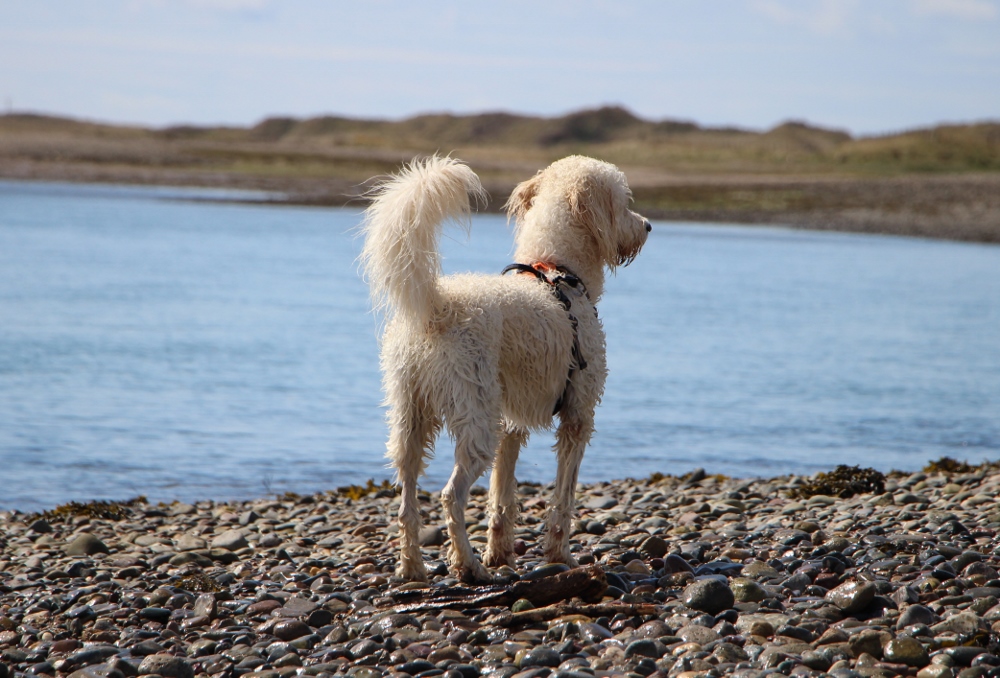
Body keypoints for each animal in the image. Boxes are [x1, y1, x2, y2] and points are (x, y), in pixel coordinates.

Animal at [364, 155, 652, 584]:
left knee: (406, 498)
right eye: (623, 201)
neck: (557, 270)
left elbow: (502, 496)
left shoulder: (511, 423)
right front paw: (559, 555)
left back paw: (413, 566)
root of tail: (438, 308)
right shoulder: (578, 417)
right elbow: (563, 499)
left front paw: (501, 552)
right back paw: (467, 565)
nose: (648, 226)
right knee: (451, 496)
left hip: (409, 416)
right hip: (475, 419)